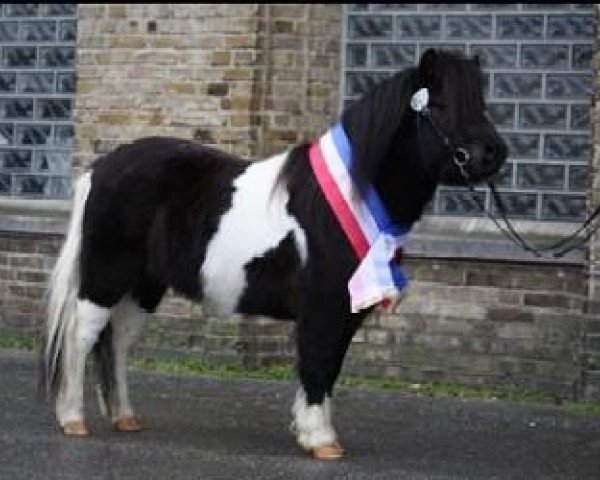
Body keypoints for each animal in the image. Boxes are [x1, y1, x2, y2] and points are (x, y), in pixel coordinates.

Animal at [39, 49, 506, 462]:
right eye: (440, 103)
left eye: (481, 102)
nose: (492, 153)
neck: (343, 202)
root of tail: (100, 169)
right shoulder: (323, 308)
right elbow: (318, 365)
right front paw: (321, 440)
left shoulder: (344, 313)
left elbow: (329, 368)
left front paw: (315, 432)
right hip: (105, 278)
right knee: (82, 337)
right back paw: (73, 419)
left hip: (144, 288)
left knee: (117, 341)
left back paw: (125, 417)